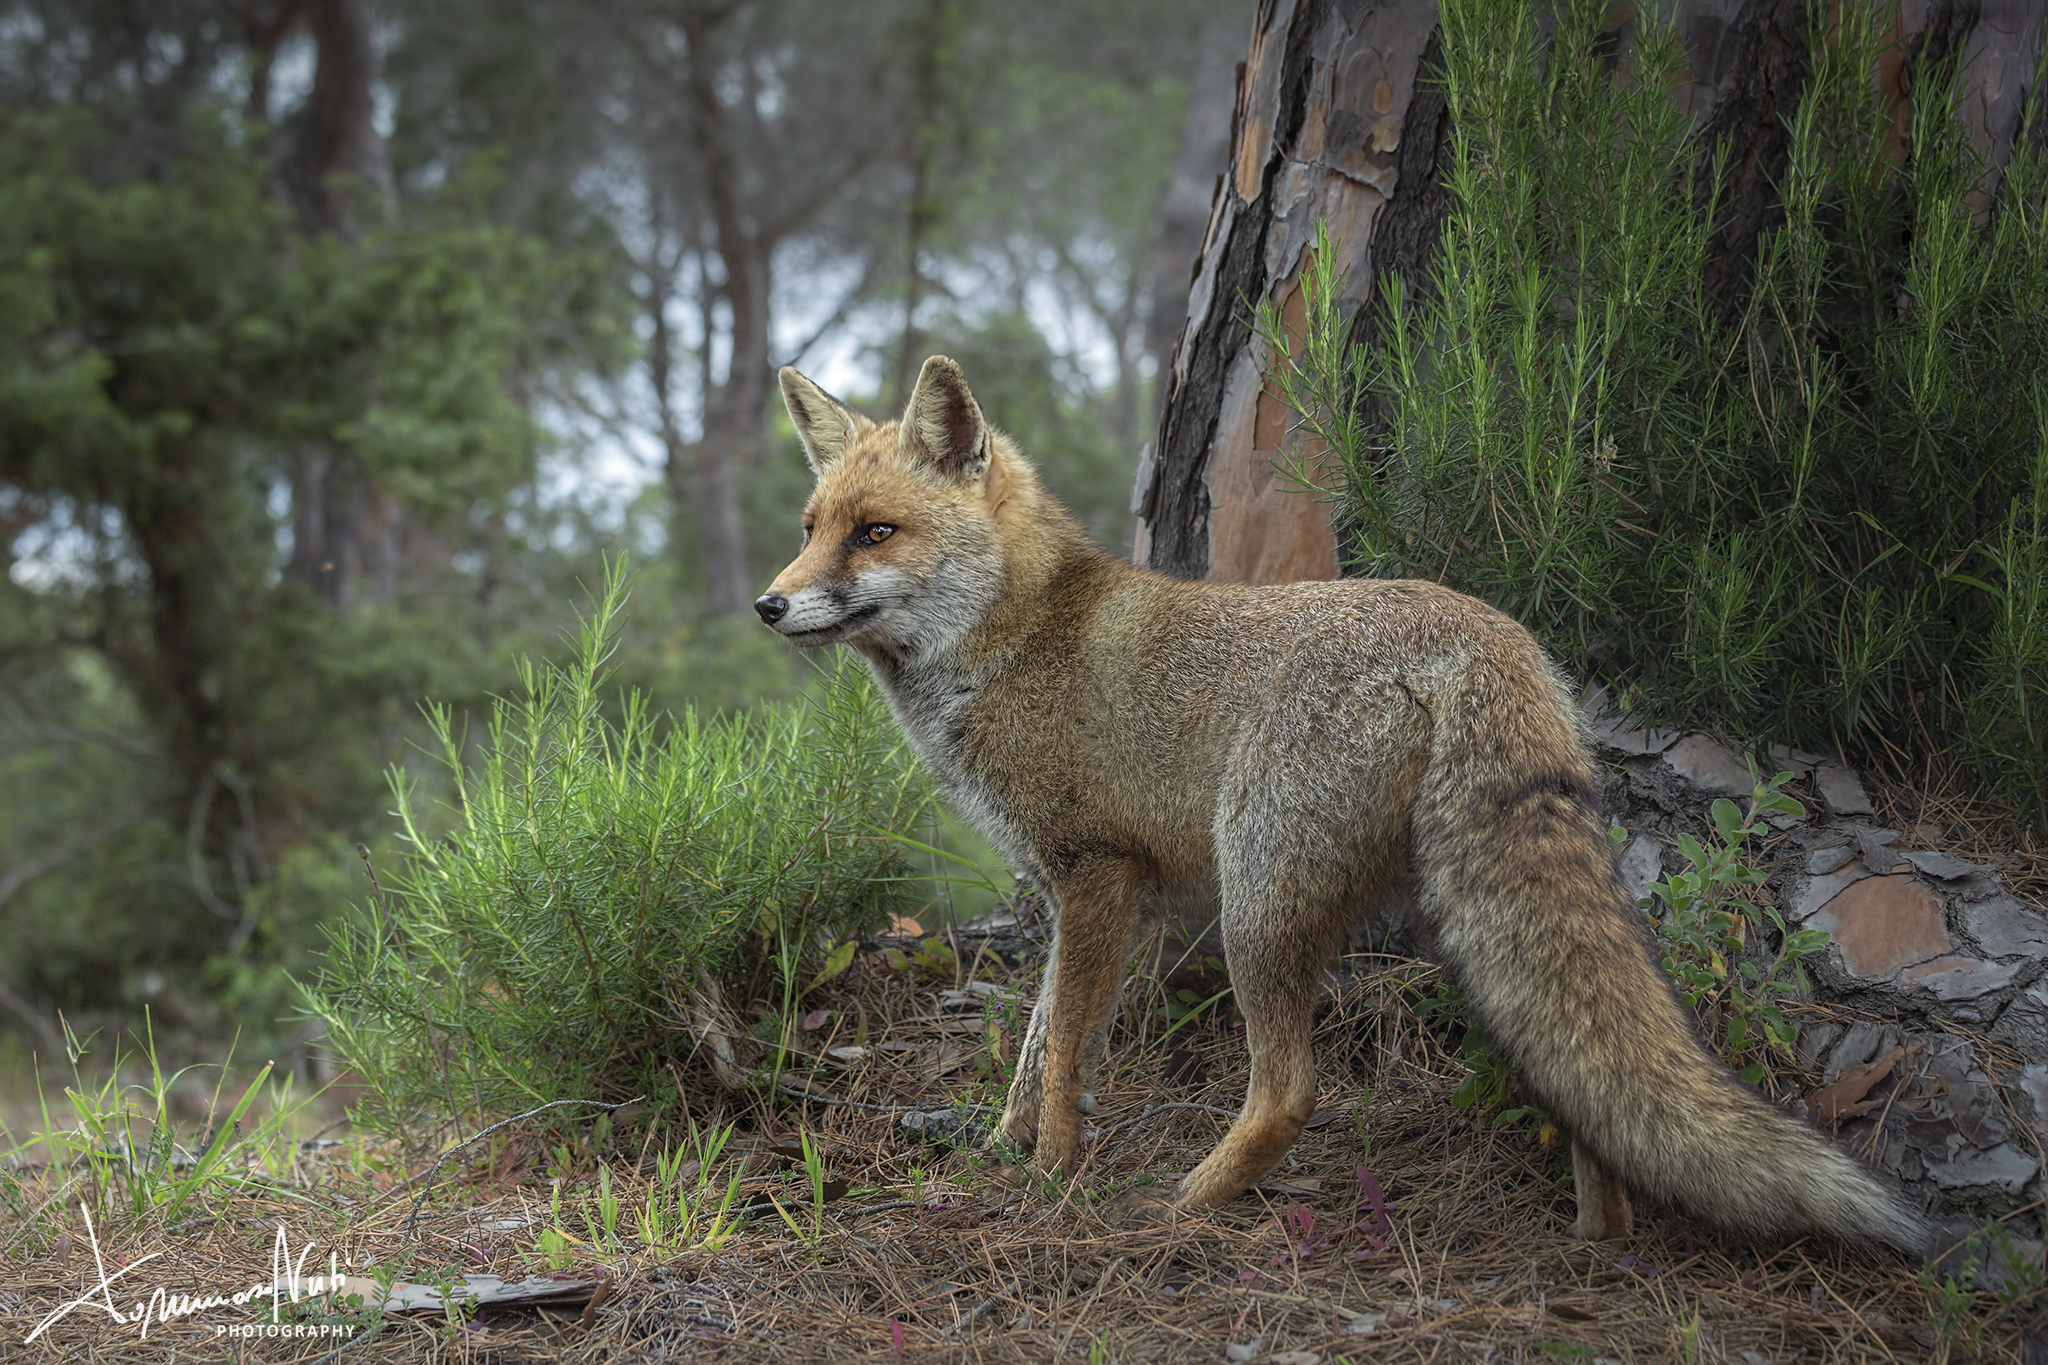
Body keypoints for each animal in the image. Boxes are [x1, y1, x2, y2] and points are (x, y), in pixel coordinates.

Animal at [754, 353, 1932, 1256]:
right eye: (808, 526)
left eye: (874, 533)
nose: (767, 604)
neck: (1015, 638)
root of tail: (1487, 631)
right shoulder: (1081, 894)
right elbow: (1039, 1044)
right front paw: (1003, 1153)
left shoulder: (1095, 875)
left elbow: (1061, 1063)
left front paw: (1047, 1178)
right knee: (1587, 1089)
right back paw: (1599, 1244)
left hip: (1257, 905)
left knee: (1290, 1093)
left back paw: (1182, 1207)